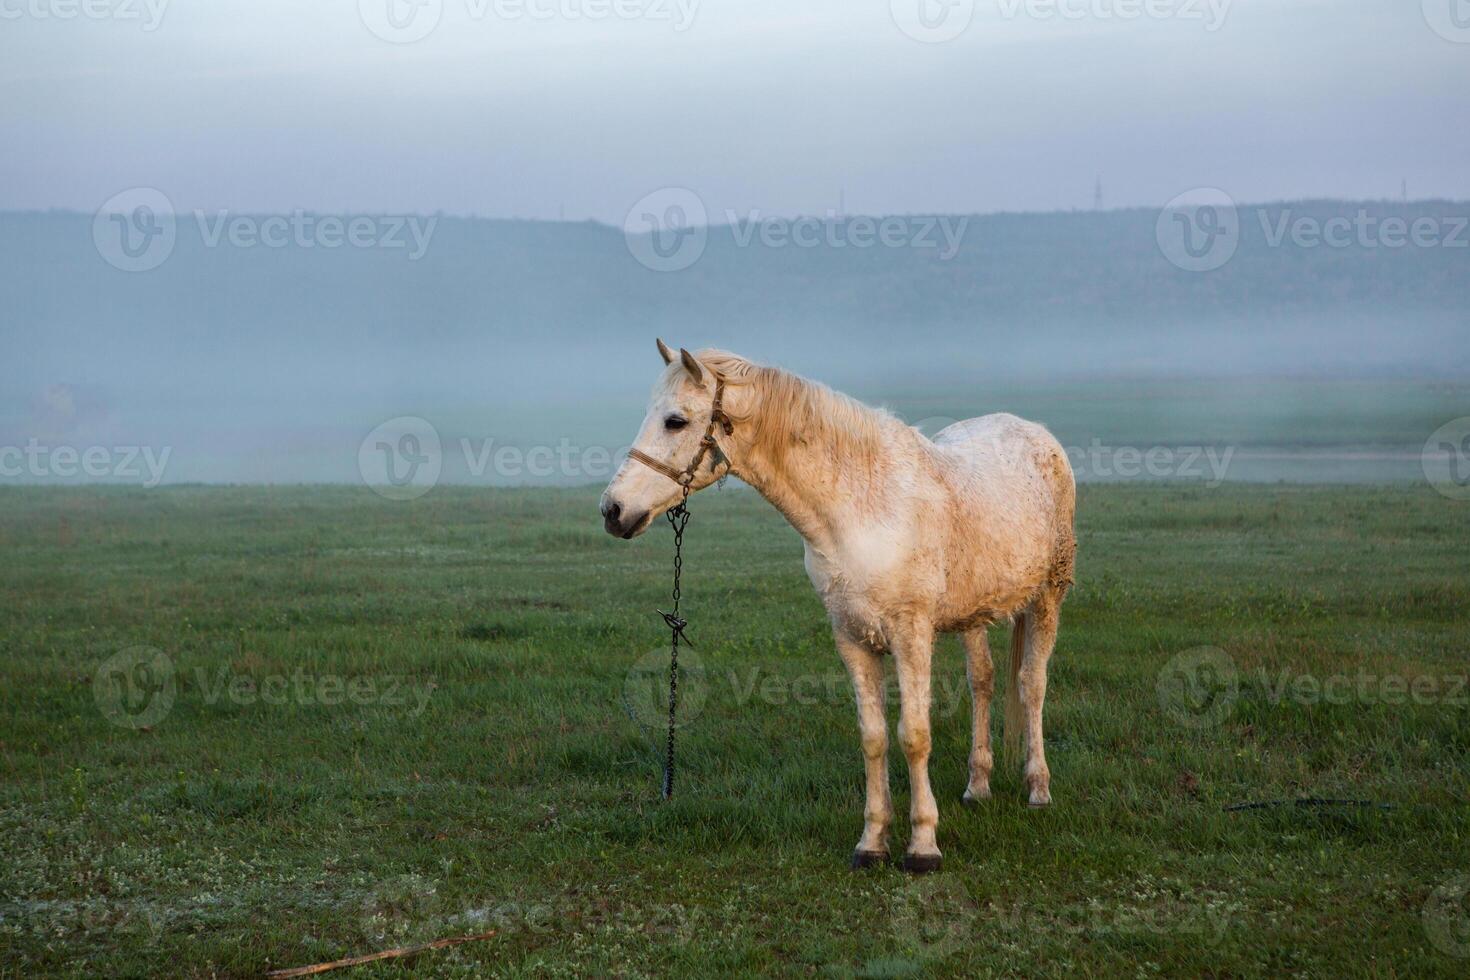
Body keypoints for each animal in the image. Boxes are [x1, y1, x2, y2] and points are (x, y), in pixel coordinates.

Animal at [602, 343, 1076, 875]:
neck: (863, 507)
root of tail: (1034, 433)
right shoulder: (852, 638)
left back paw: (1038, 789)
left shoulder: (912, 635)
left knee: (1031, 684)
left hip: (1048, 597)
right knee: (983, 682)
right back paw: (977, 787)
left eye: (676, 421)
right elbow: (874, 738)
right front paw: (872, 842)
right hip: (972, 616)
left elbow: (914, 735)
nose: (613, 510)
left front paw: (923, 845)